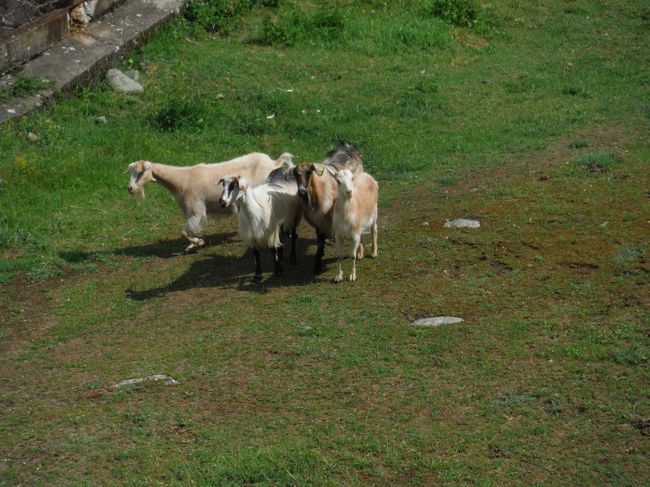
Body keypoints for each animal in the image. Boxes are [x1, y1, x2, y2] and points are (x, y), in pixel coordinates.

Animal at [126, 152, 288, 252]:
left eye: (140, 172)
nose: (130, 188)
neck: (181, 181)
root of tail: (274, 163)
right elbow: (186, 232)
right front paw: (192, 246)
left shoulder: (195, 210)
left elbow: (185, 232)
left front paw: (198, 243)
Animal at [292, 142, 362, 274]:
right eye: (295, 175)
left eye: (309, 172)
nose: (301, 192)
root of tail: (347, 146)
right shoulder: (318, 220)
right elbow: (320, 241)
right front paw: (317, 262)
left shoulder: (324, 218)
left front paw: (318, 265)